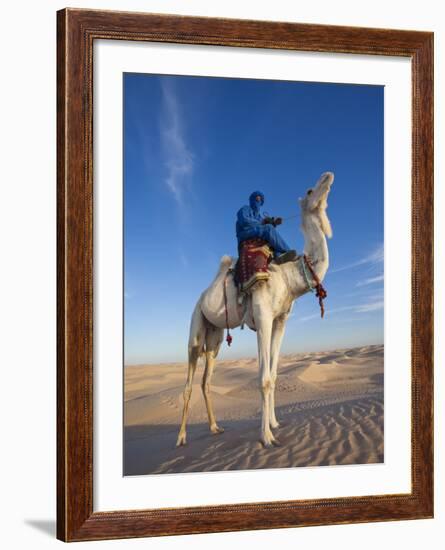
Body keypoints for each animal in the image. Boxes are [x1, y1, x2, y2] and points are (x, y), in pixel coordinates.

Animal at [175, 171, 332, 448]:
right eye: (311, 191)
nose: (328, 175)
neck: (289, 276)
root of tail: (201, 297)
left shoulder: (280, 320)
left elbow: (274, 375)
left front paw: (275, 424)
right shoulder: (263, 317)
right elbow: (264, 379)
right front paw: (267, 437)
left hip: (215, 336)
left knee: (207, 380)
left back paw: (215, 427)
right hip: (196, 324)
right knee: (189, 380)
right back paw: (181, 437)